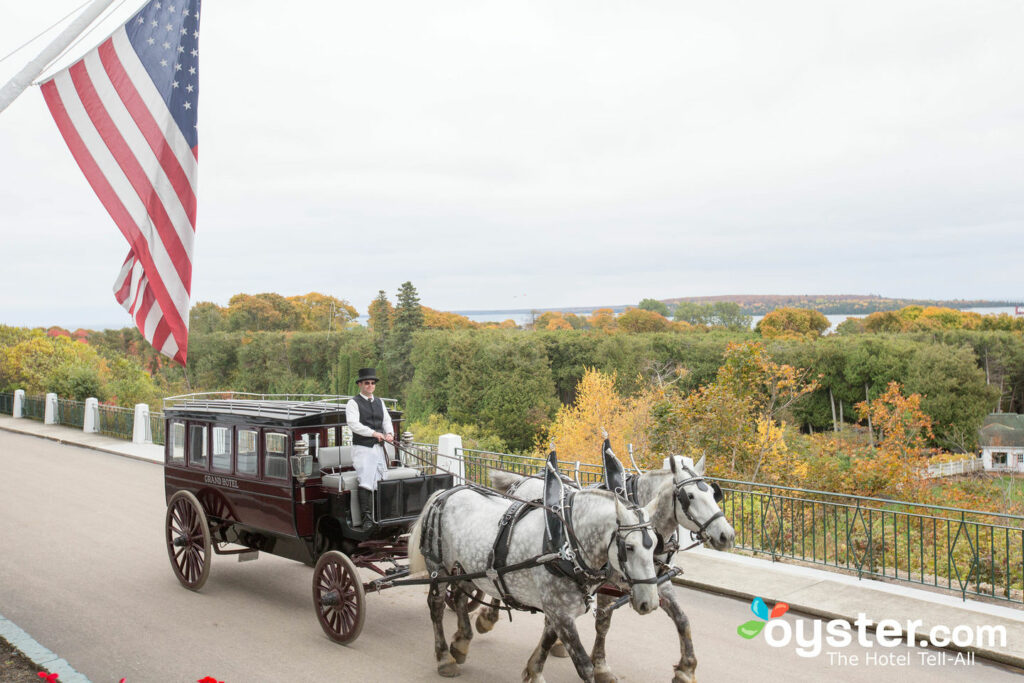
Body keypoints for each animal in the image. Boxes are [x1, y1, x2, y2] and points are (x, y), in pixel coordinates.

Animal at [407, 475, 663, 683]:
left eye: (654, 544)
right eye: (629, 547)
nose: (650, 603)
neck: (565, 545)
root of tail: (445, 493)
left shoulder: (556, 610)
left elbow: (547, 643)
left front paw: (533, 671)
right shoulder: (561, 614)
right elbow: (584, 666)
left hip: (466, 568)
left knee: (460, 596)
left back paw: (461, 644)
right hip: (438, 567)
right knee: (436, 606)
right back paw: (444, 658)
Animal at [483, 454, 733, 683]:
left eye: (713, 494)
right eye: (689, 496)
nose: (727, 535)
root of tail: (524, 479)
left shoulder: (655, 582)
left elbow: (682, 619)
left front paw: (686, 669)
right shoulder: (606, 585)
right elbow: (603, 623)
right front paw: (601, 666)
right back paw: (488, 615)